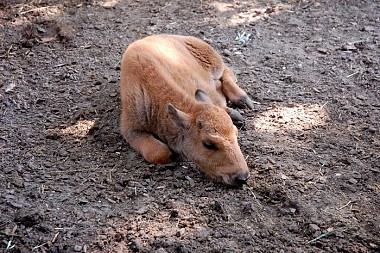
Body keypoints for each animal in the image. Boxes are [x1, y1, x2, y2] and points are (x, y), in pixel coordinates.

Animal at [120, 34, 254, 186]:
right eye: (208, 144)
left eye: (236, 133)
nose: (242, 177)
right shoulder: (130, 129)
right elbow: (158, 152)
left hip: (215, 65)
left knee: (226, 73)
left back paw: (242, 101)